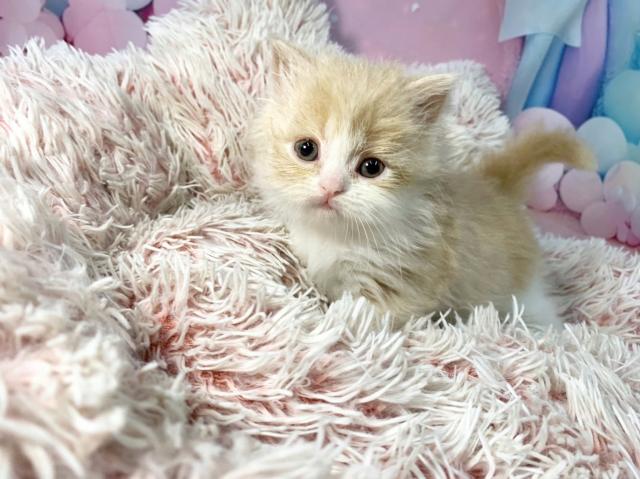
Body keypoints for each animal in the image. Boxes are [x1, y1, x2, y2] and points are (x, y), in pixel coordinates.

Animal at [247, 40, 594, 330]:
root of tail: (494, 186)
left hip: (521, 292)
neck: (333, 237)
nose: (331, 187)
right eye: (306, 149)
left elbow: (356, 314)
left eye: (371, 167)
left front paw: (329, 323)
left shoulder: (404, 282)